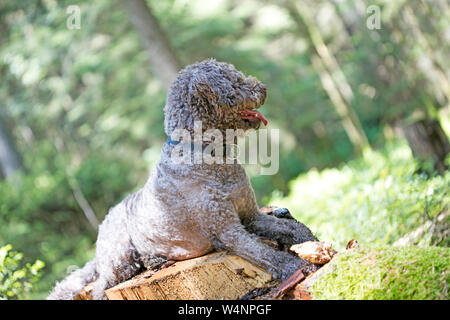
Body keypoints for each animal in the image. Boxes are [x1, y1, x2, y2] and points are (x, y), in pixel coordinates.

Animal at [47, 58, 318, 300]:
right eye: (234, 82)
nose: (262, 87)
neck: (206, 153)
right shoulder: (227, 231)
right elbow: (266, 254)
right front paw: (295, 267)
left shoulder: (250, 216)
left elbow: (291, 228)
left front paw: (311, 241)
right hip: (120, 256)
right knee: (100, 287)